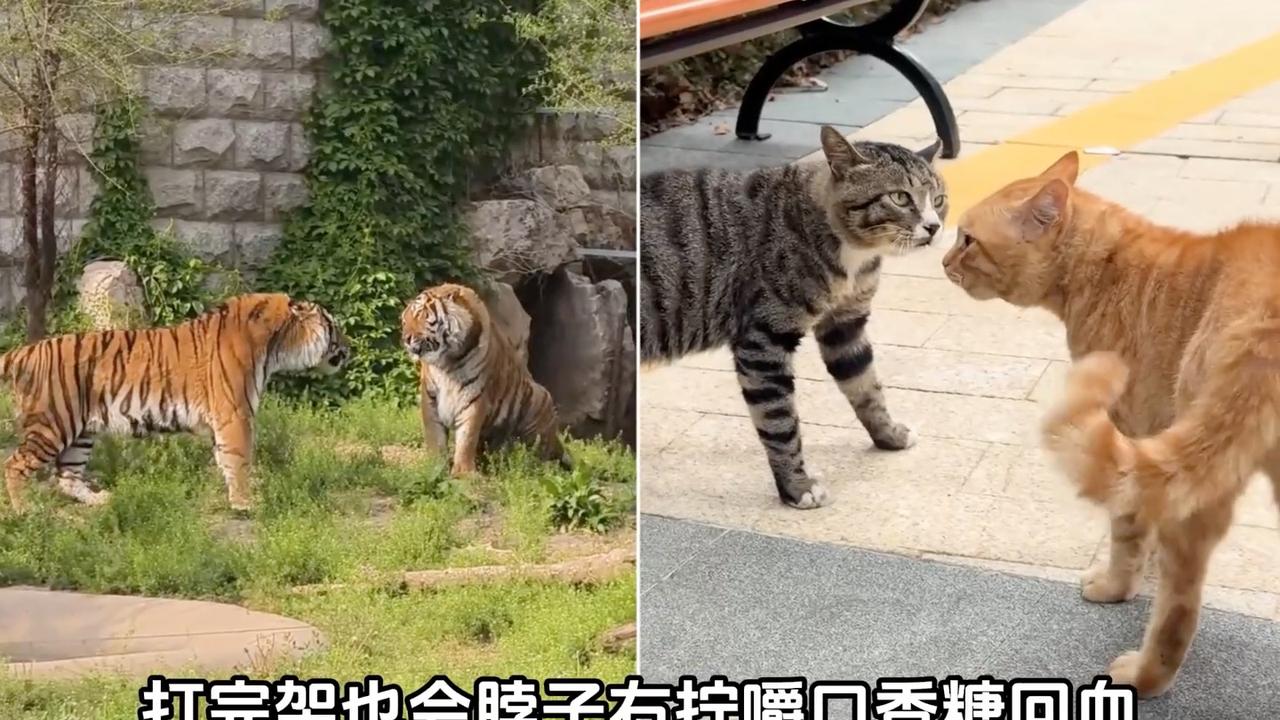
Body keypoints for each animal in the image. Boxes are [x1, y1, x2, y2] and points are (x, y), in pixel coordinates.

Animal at [0, 293, 350, 513]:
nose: (350, 348)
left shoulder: (224, 419)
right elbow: (240, 460)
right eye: (336, 327)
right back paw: (25, 510)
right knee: (14, 464)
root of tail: (25, 350)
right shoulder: (235, 414)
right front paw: (245, 504)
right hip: (53, 424)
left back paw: (102, 501)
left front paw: (233, 498)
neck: (279, 343)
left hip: (82, 431)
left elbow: (226, 459)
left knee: (67, 477)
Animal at [400, 283, 567, 475]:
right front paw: (434, 466)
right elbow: (434, 434)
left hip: (540, 399)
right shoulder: (430, 396)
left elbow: (467, 437)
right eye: (404, 321)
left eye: (420, 315)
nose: (405, 339)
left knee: (541, 454)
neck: (447, 362)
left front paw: (463, 473)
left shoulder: (474, 394)